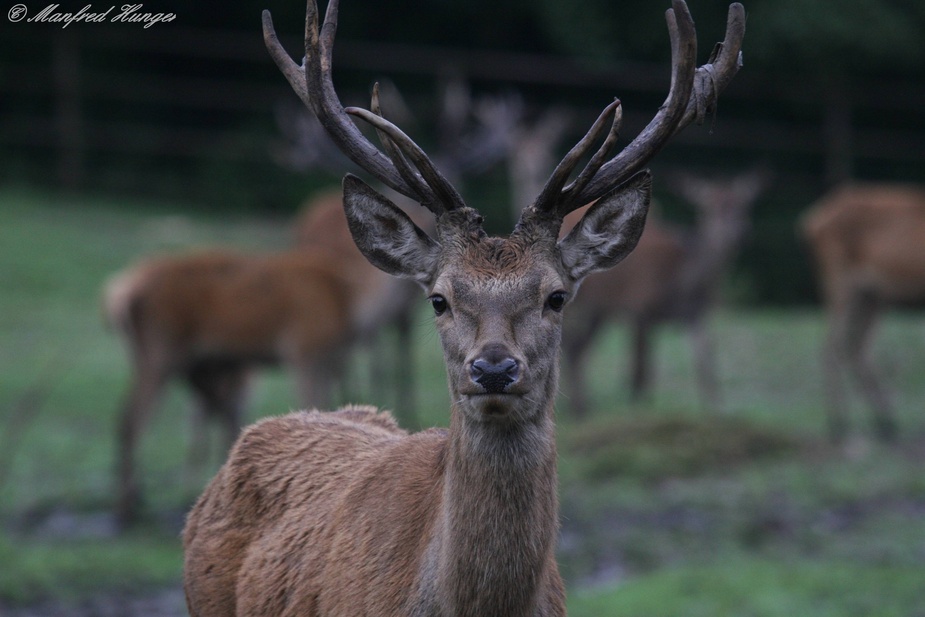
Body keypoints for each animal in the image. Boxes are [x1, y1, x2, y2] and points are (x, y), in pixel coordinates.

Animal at [800, 180, 924, 440]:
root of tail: (810, 221)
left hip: (871, 294)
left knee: (853, 345)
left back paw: (884, 421)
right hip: (840, 280)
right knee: (833, 345)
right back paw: (839, 423)